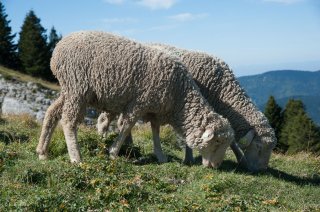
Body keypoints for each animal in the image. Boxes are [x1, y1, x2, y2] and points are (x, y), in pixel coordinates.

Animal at [36, 31, 234, 167]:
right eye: (217, 141)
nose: (216, 166)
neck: (179, 97)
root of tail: (58, 48)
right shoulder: (139, 102)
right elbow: (126, 127)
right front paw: (113, 152)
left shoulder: (154, 108)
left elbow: (155, 132)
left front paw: (160, 156)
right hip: (77, 89)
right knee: (68, 121)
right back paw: (76, 157)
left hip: (69, 90)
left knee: (52, 112)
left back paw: (42, 152)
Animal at [97, 43, 276, 172]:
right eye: (259, 147)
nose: (262, 170)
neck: (222, 87)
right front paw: (188, 159)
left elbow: (231, 140)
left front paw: (241, 159)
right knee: (110, 119)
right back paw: (105, 136)